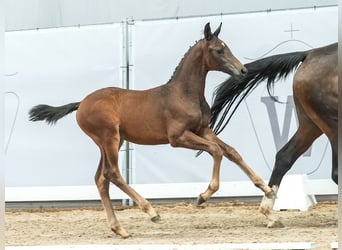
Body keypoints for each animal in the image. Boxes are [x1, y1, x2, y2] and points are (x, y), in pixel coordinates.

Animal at [28, 23, 274, 238]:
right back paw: (151, 212)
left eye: (227, 46)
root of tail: (81, 103)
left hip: (110, 142)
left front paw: (268, 190)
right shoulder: (177, 137)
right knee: (112, 173)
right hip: (109, 138)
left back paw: (120, 229)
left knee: (101, 179)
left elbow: (231, 151)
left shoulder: (202, 129)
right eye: (219, 50)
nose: (243, 70)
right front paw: (203, 196)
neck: (184, 93)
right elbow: (216, 150)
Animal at [210, 42, 338, 227]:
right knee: (335, 172)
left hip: (312, 125)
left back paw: (269, 212)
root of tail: (310, 54)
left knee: (284, 157)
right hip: (331, 123)